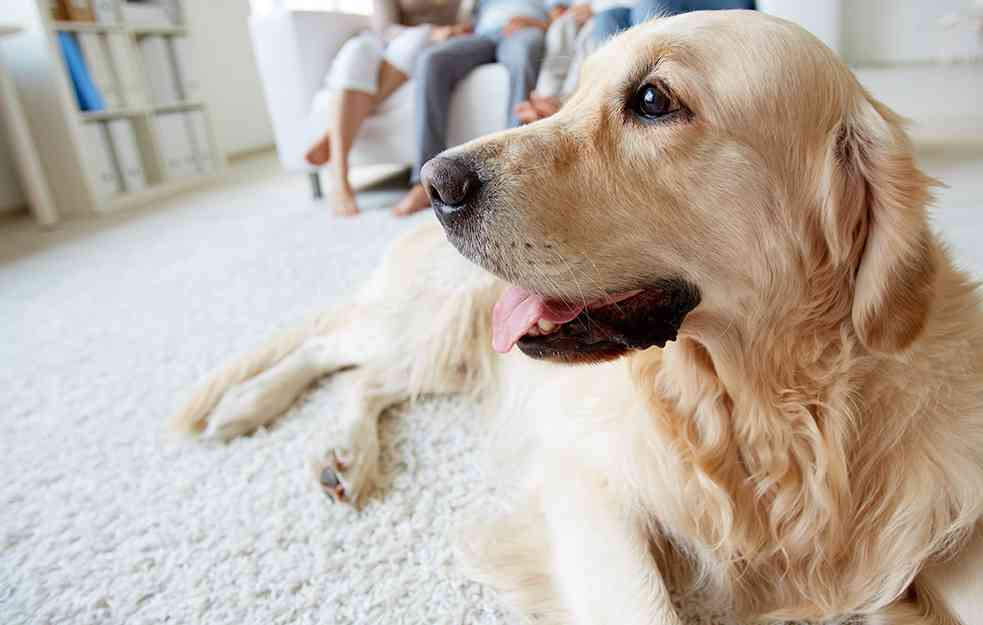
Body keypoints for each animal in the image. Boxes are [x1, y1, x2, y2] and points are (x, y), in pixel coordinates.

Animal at [175, 9, 983, 624]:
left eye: (653, 100)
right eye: (575, 93)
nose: (435, 182)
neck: (766, 411)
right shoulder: (587, 482)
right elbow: (643, 602)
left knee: (367, 376)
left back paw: (341, 454)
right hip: (437, 321)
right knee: (331, 346)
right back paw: (253, 406)